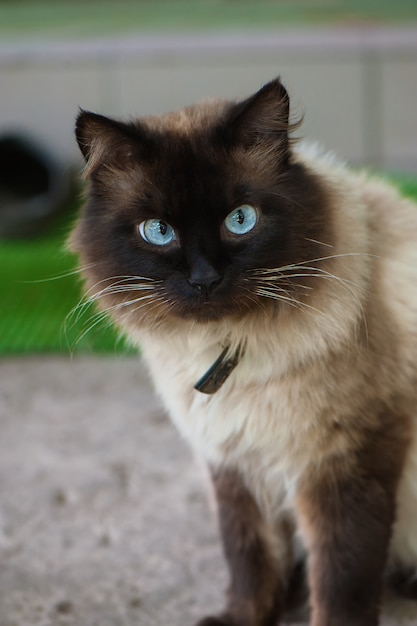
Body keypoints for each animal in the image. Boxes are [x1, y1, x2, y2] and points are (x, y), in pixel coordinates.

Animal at [70, 79, 416, 624]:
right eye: (158, 231)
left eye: (240, 220)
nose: (205, 279)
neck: (228, 351)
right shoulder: (233, 461)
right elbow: (249, 556)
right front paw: (244, 615)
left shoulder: (346, 460)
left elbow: (343, 576)